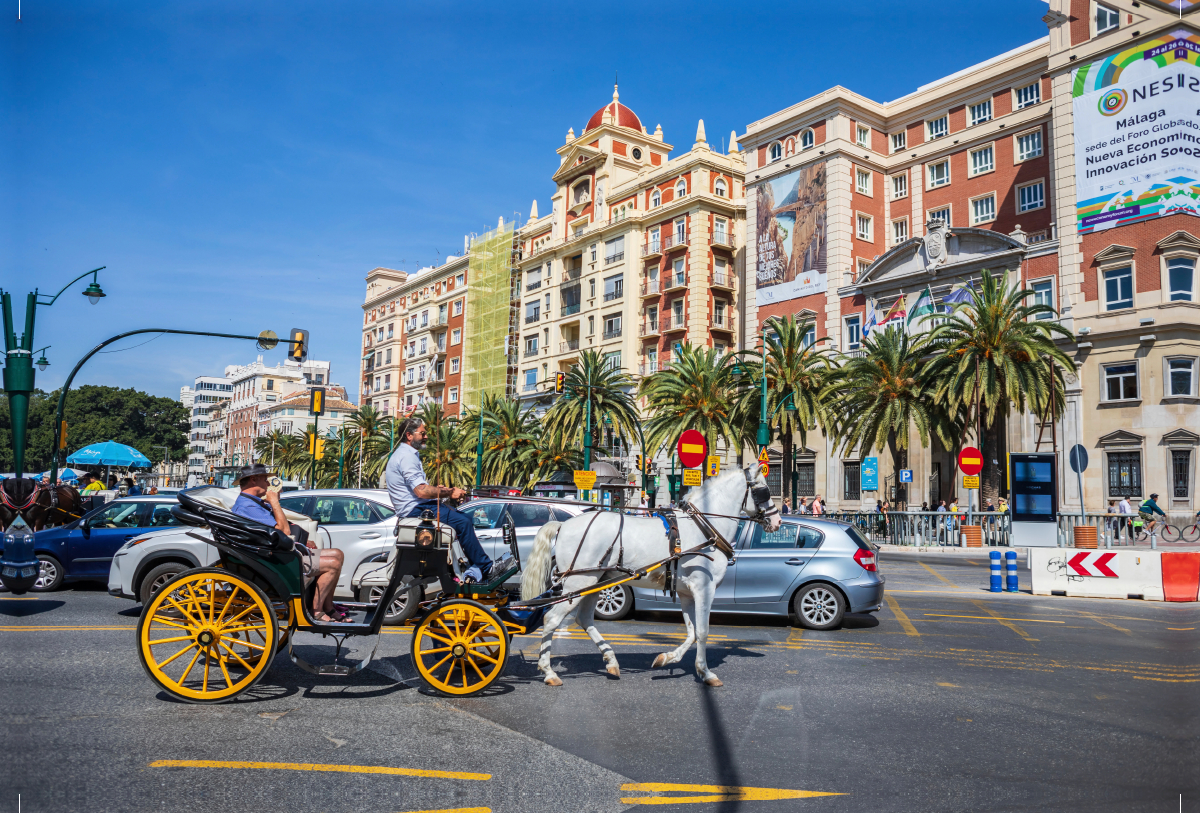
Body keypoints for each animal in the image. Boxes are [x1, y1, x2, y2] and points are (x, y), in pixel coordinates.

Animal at [520, 467, 782, 690]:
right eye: (764, 489)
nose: (778, 520)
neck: (704, 529)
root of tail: (563, 525)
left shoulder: (687, 592)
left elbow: (692, 632)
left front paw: (667, 658)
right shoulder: (704, 589)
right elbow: (703, 632)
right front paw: (706, 673)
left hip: (593, 582)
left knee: (584, 619)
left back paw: (611, 660)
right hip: (578, 583)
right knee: (552, 619)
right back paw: (549, 672)